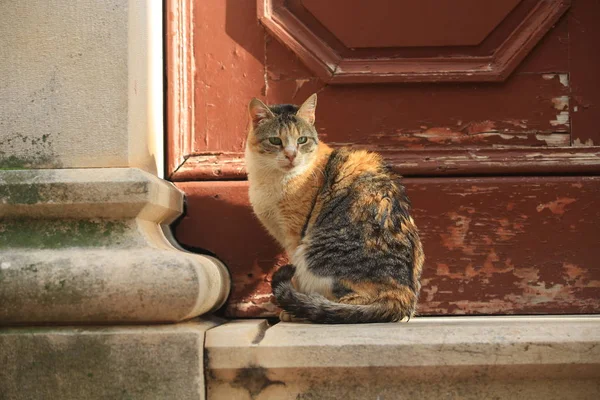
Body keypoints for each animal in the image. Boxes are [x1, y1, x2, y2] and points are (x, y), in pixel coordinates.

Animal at [244, 93, 422, 322]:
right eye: (275, 140)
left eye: (302, 140)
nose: (291, 155)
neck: (272, 177)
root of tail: (405, 295)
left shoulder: (295, 236)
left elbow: (295, 277)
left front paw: (292, 307)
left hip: (313, 253)